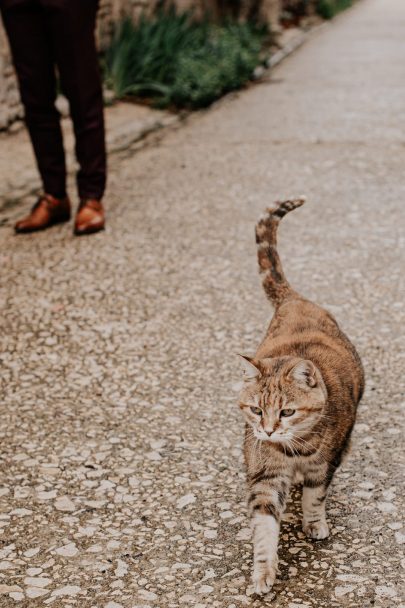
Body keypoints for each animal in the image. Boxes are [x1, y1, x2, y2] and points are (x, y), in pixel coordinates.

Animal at [238, 198, 364, 592]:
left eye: (287, 412)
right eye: (256, 410)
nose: (267, 430)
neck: (293, 451)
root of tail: (295, 300)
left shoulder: (325, 463)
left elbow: (314, 496)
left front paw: (314, 523)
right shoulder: (264, 473)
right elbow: (264, 525)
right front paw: (263, 571)